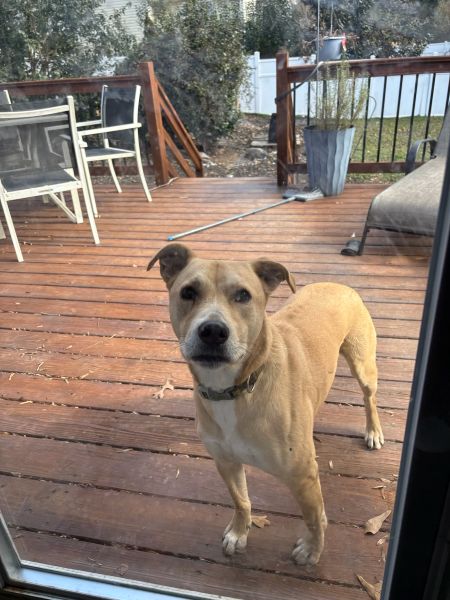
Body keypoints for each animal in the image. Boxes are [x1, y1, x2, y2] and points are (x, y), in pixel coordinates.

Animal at [148, 241, 384, 564]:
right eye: (188, 292)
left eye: (243, 295)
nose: (213, 331)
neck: (237, 388)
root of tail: (336, 284)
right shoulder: (226, 462)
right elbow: (241, 500)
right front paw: (239, 533)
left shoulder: (303, 476)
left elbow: (314, 517)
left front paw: (312, 550)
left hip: (363, 365)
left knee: (369, 396)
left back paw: (373, 431)